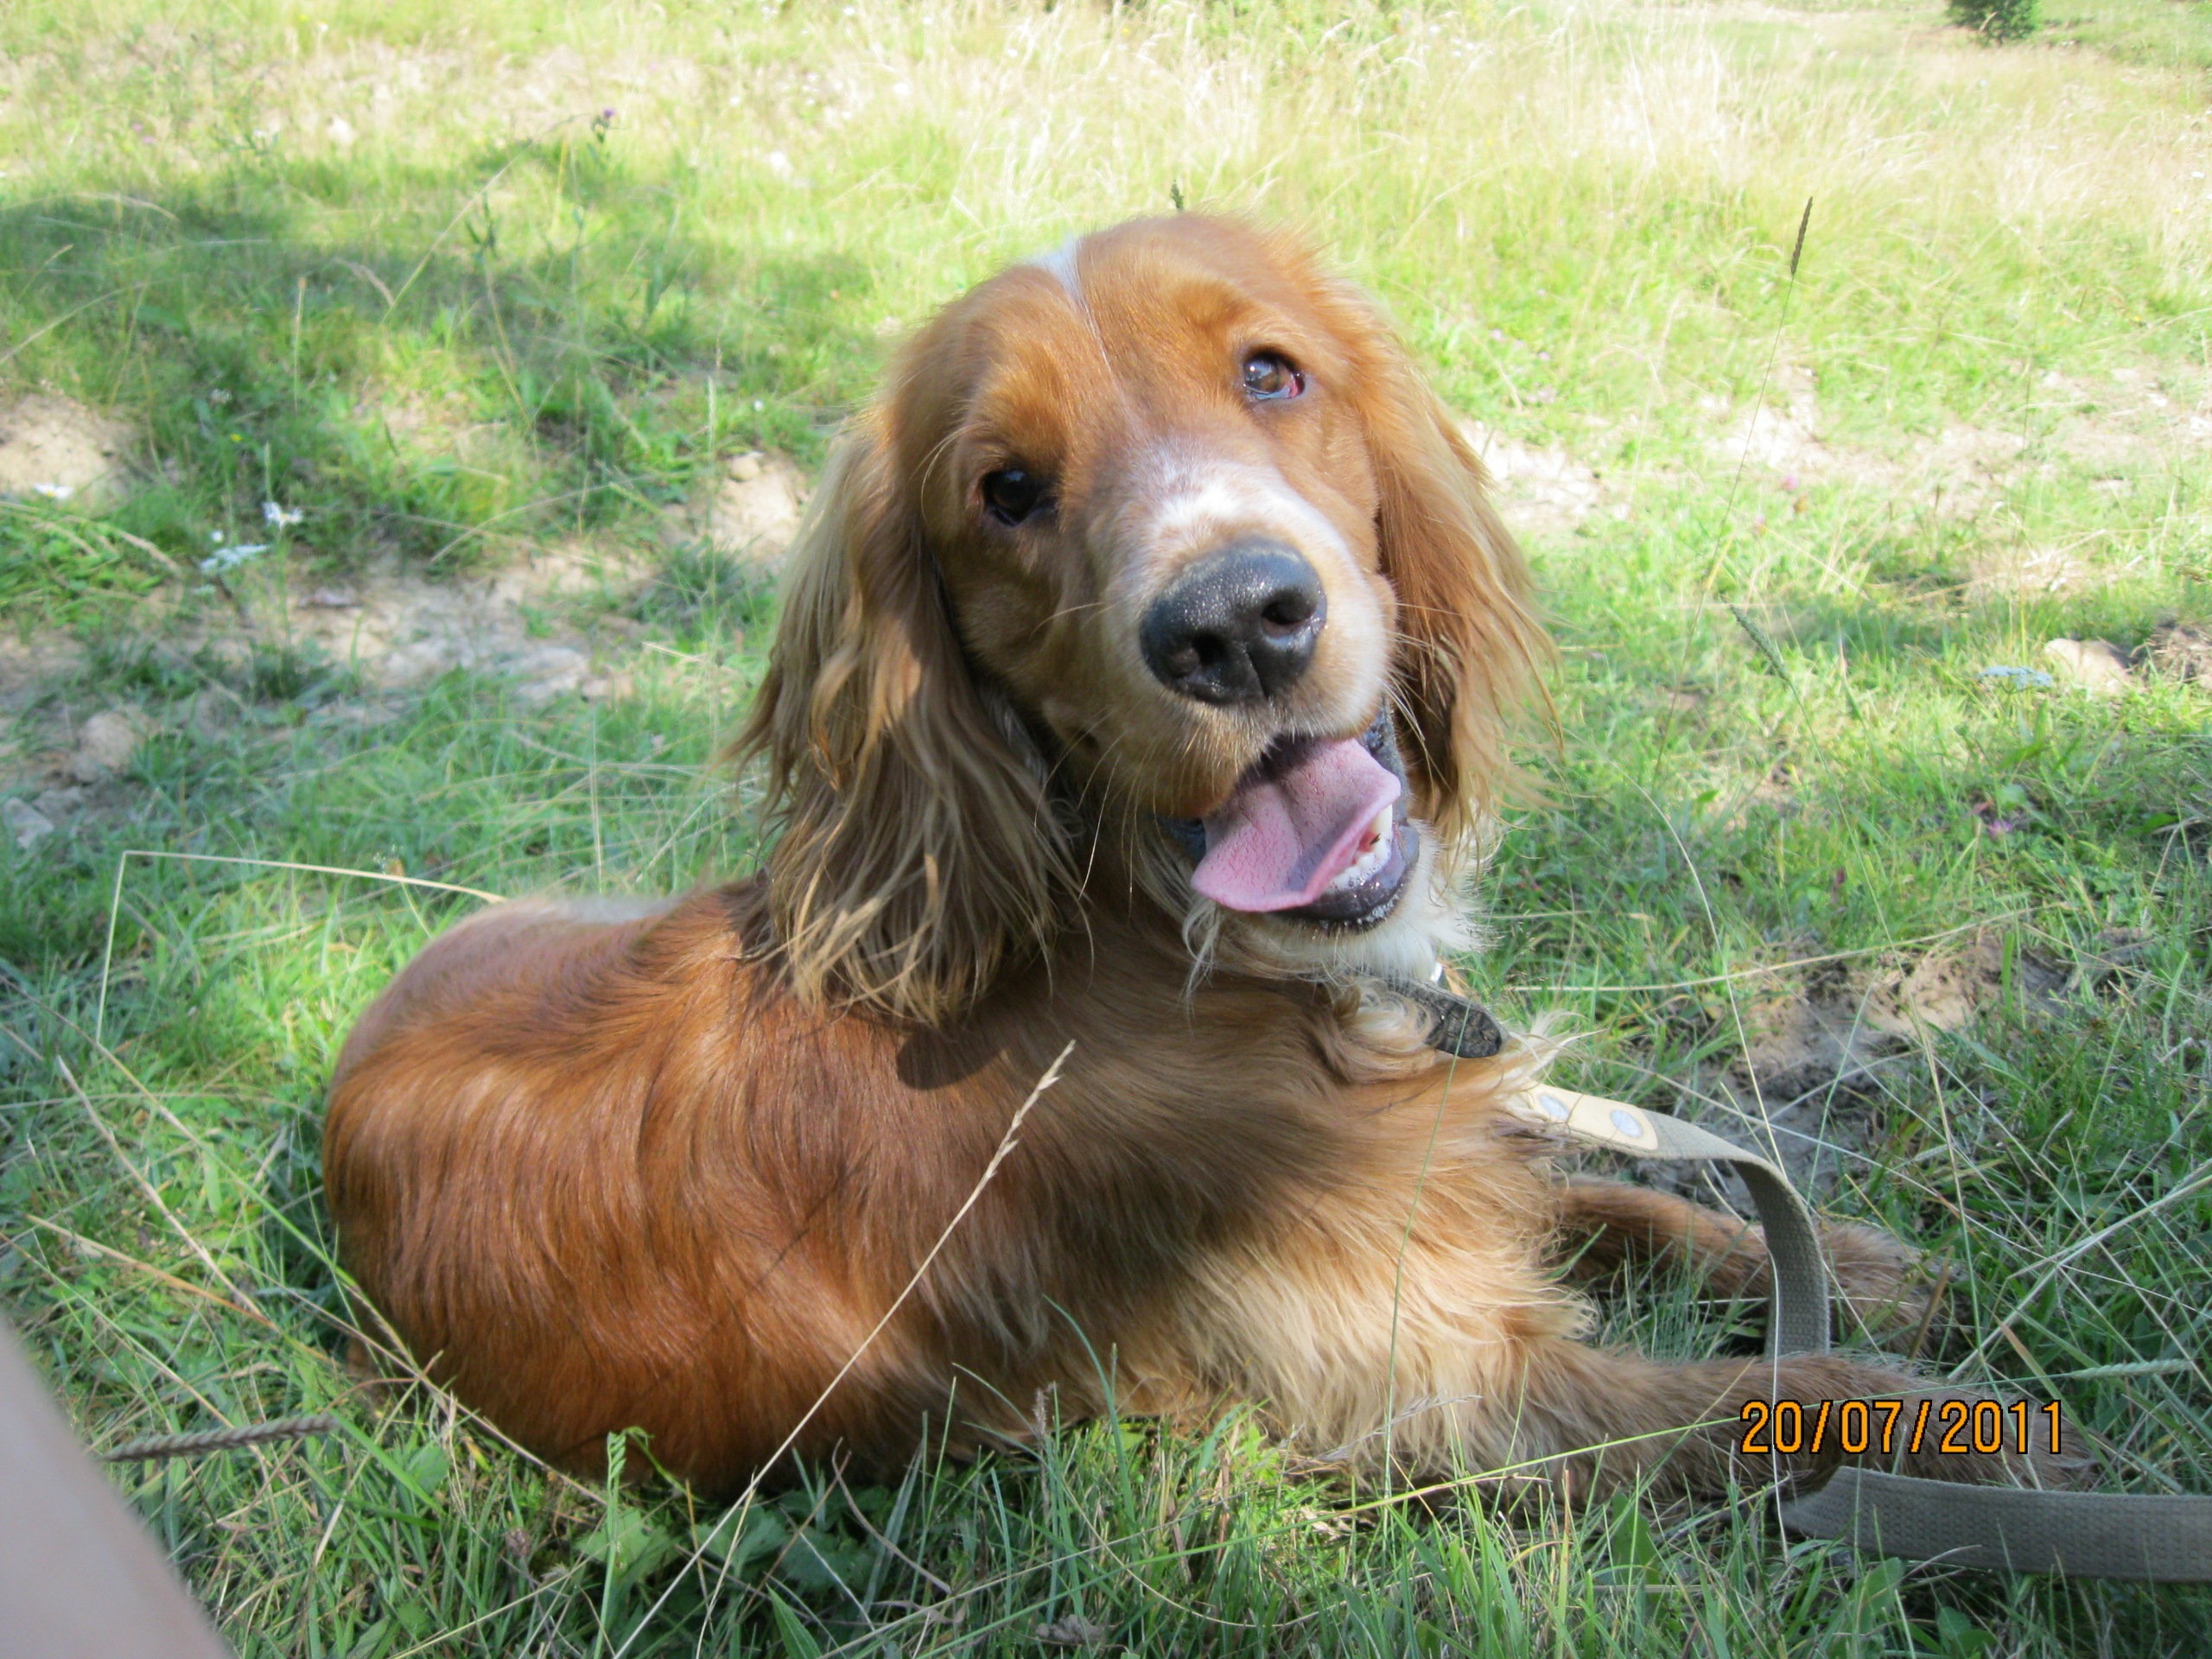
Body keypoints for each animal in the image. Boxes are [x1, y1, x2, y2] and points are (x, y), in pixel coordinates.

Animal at [326, 215, 2074, 1501]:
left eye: (1272, 372)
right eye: (1005, 491)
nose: (1236, 622)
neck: (1198, 958)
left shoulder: (1436, 1184)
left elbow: (1595, 1185)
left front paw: (1846, 1260)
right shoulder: (1439, 1394)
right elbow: (1753, 1408)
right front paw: (1948, 1431)